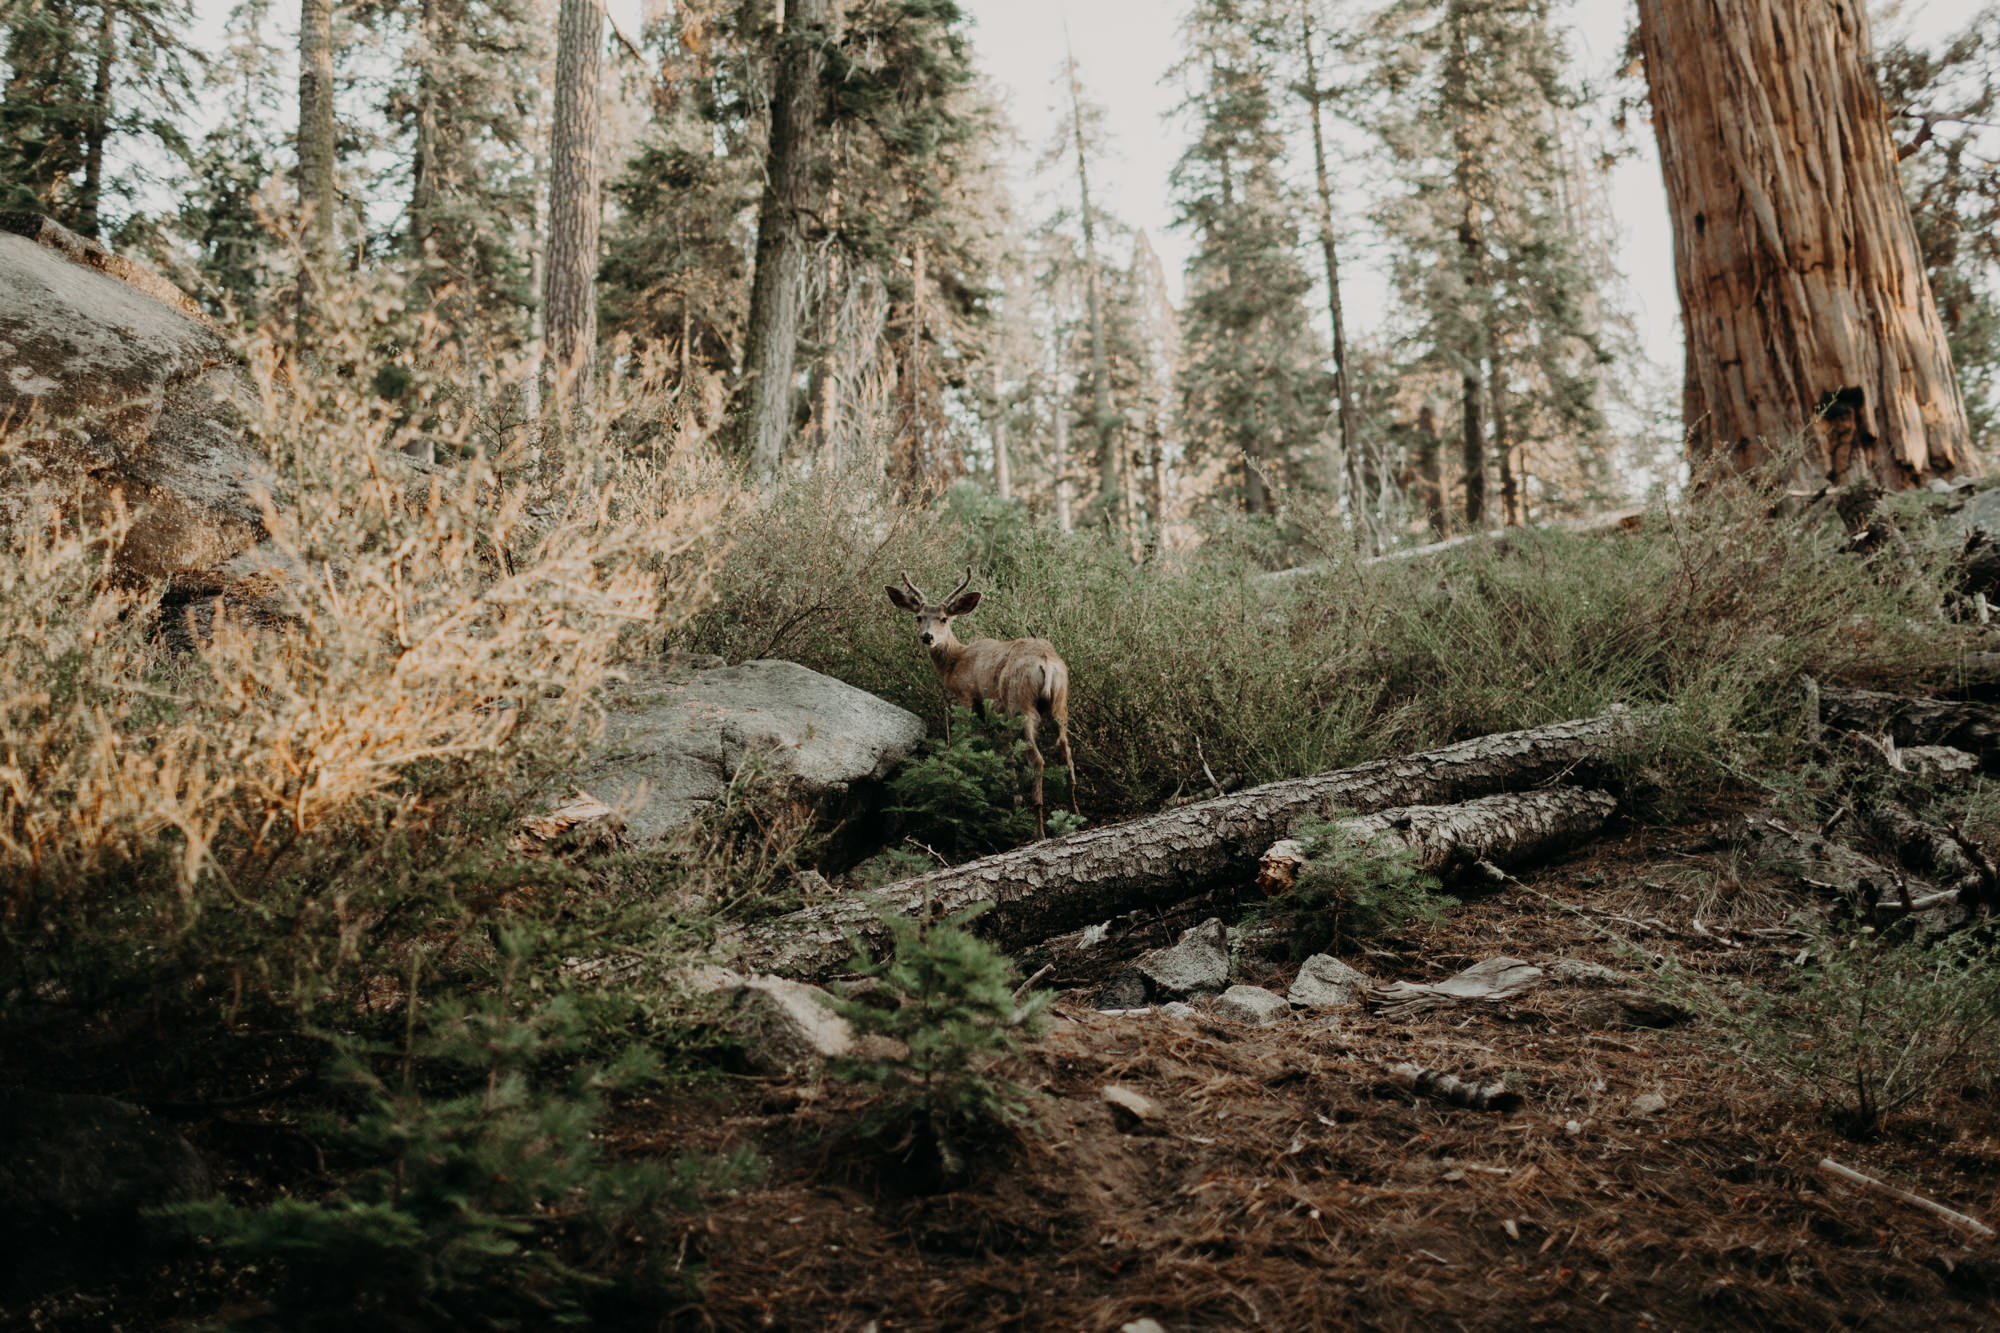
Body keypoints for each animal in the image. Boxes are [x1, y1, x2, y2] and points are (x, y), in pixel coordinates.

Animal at [888, 564, 1080, 836]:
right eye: (919, 617)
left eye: (943, 618)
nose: (927, 637)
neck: (955, 662)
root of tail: (1046, 662)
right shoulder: (997, 714)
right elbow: (1006, 755)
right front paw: (1014, 799)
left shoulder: (967, 696)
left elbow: (970, 741)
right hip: (1060, 704)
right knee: (1066, 751)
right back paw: (1075, 817)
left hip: (1020, 704)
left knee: (1037, 759)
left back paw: (1039, 829)